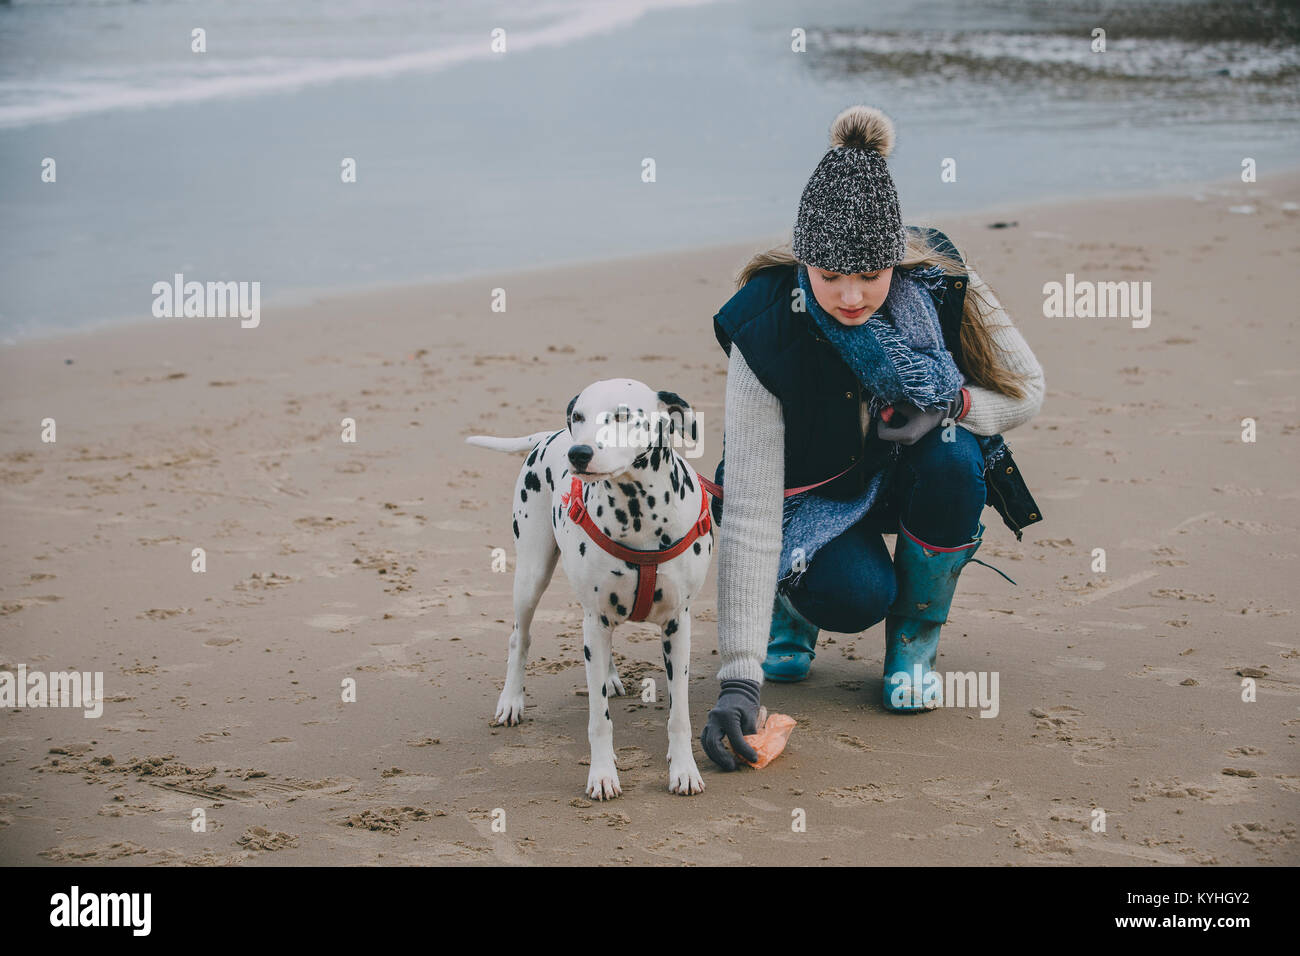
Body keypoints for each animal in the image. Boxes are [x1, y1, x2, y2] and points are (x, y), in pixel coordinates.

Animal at [465, 382, 712, 801]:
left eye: (623, 415)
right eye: (578, 416)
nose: (578, 452)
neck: (637, 513)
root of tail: (547, 437)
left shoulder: (677, 627)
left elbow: (679, 715)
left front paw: (683, 770)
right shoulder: (595, 622)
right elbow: (600, 720)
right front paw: (602, 775)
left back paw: (610, 677)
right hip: (531, 576)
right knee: (519, 637)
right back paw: (511, 701)